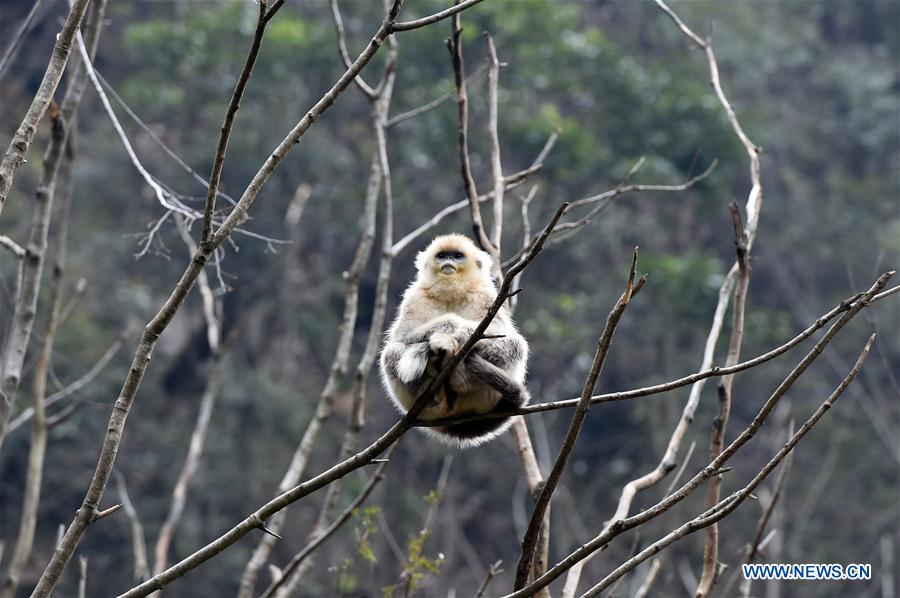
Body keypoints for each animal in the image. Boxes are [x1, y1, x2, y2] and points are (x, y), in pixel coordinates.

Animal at [379, 233, 530, 447]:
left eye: (457, 256)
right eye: (442, 256)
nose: (448, 262)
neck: (451, 292)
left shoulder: (486, 295)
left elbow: (510, 338)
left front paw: (463, 333)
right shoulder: (415, 296)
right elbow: (403, 337)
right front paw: (451, 326)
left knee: (516, 346)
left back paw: (457, 375)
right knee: (391, 352)